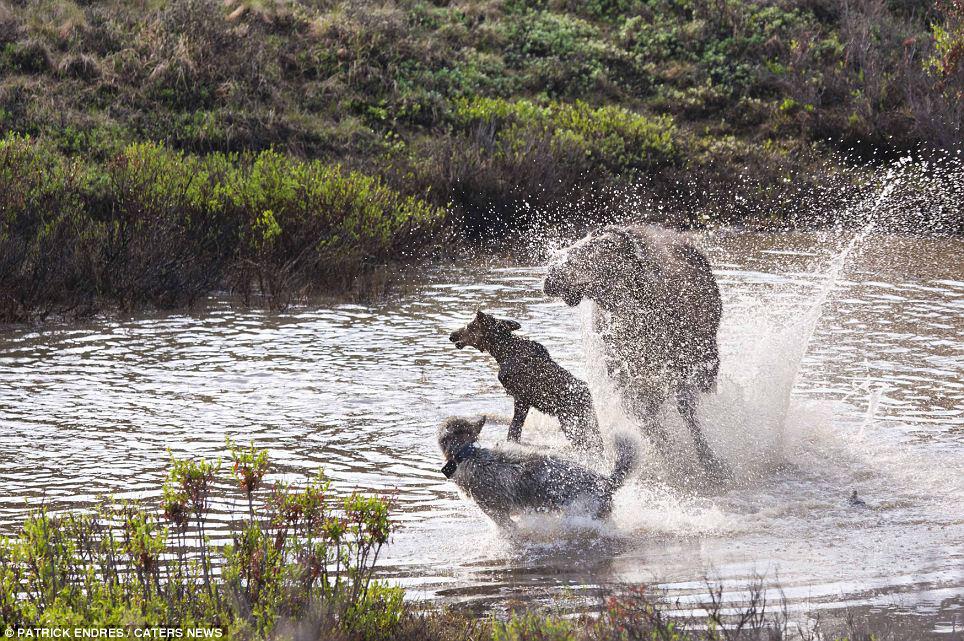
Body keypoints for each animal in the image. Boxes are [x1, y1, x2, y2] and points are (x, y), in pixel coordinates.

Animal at [452, 308, 604, 450]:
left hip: (571, 421)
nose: (451, 335)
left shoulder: (521, 397)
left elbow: (514, 430)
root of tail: (589, 397)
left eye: (470, 326)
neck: (501, 353)